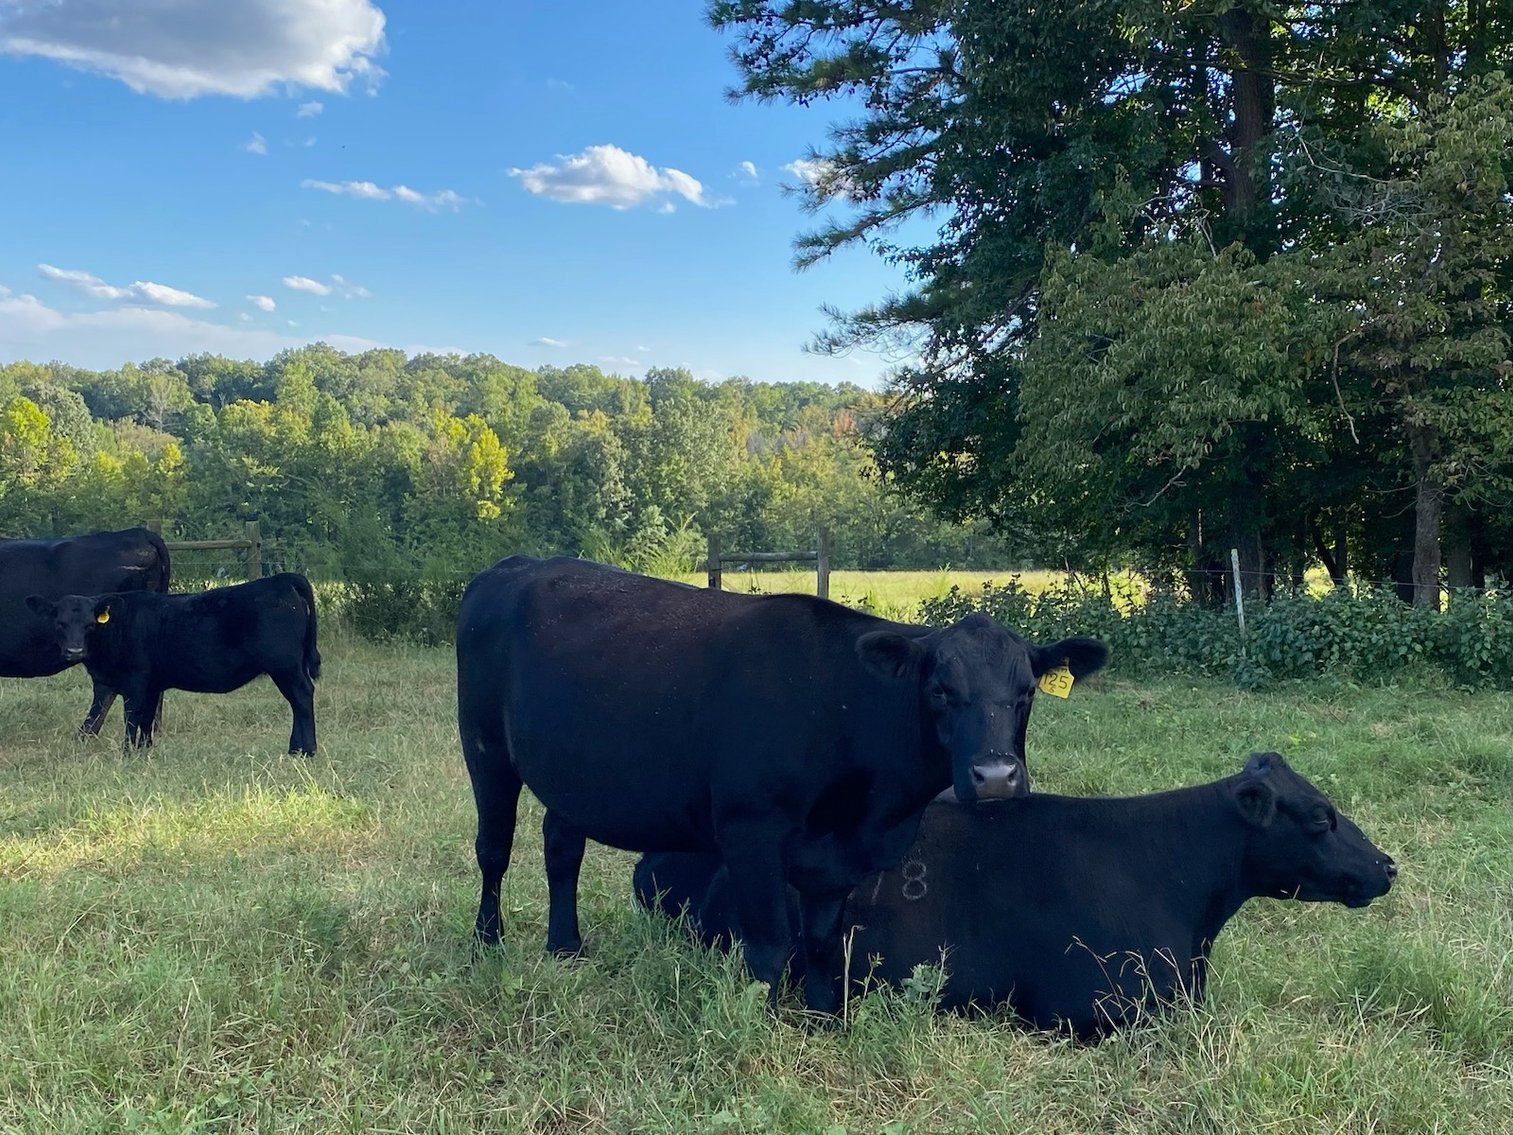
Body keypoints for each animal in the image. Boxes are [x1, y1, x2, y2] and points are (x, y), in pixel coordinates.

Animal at [24, 573, 322, 755]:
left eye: (89, 625)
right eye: (60, 623)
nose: (74, 650)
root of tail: (282, 579)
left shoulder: (135, 681)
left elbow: (131, 718)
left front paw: (127, 752)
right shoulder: (131, 683)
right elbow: (133, 719)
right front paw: (143, 750)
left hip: (285, 666)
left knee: (301, 697)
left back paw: (303, 750)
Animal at [455, 555, 1108, 1013]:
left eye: (1025, 693)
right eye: (940, 690)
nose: (996, 777)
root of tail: (514, 565)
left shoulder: (837, 856)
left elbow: (822, 945)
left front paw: (824, 1020)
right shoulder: (750, 831)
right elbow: (770, 946)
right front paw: (760, 1024)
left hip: (574, 770)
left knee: (561, 843)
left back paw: (565, 946)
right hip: (484, 747)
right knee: (494, 850)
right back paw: (487, 943)